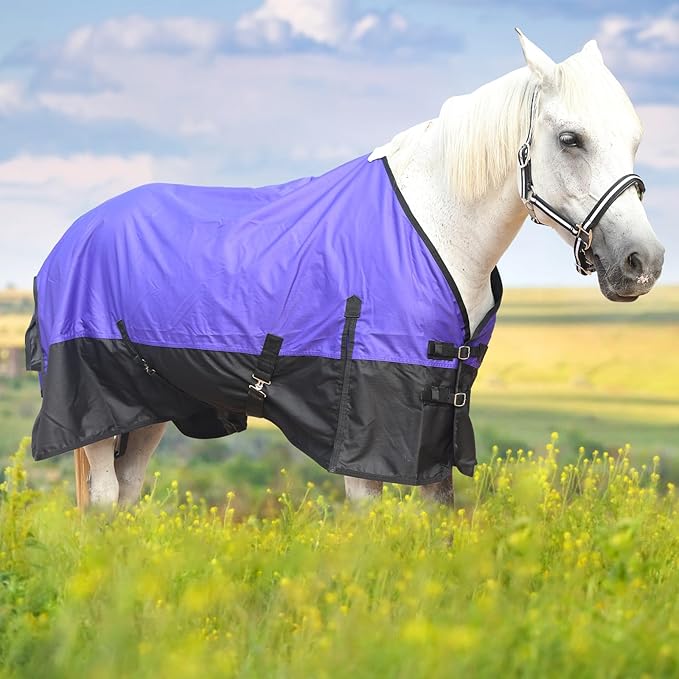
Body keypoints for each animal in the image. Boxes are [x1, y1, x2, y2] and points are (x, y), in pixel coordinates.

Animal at [26, 30, 665, 509]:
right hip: (99, 407)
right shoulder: (367, 431)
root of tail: (74, 235)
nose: (644, 262)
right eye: (571, 139)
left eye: (636, 138)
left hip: (151, 408)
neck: (435, 229)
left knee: (125, 498)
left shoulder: (436, 427)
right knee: (103, 500)